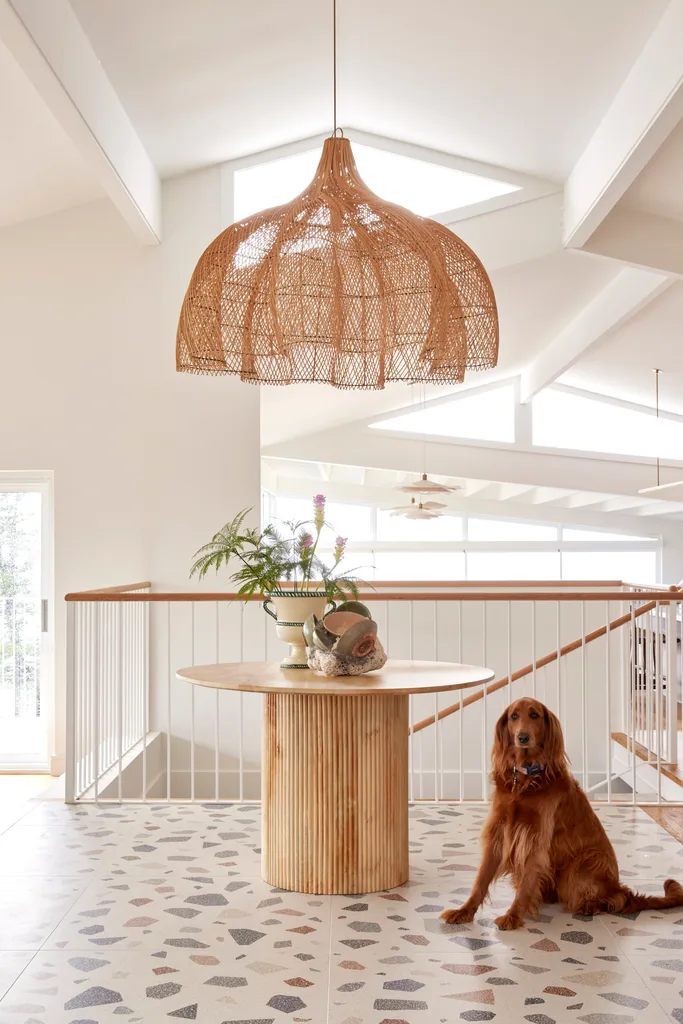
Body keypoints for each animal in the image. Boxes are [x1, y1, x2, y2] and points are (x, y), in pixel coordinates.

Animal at [440, 696, 679, 929]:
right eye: (514, 716)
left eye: (534, 715)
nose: (522, 737)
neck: (526, 780)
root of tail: (618, 887)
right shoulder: (499, 831)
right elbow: (481, 879)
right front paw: (463, 911)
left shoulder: (535, 838)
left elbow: (526, 883)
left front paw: (512, 916)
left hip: (584, 862)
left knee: (615, 900)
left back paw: (590, 906)